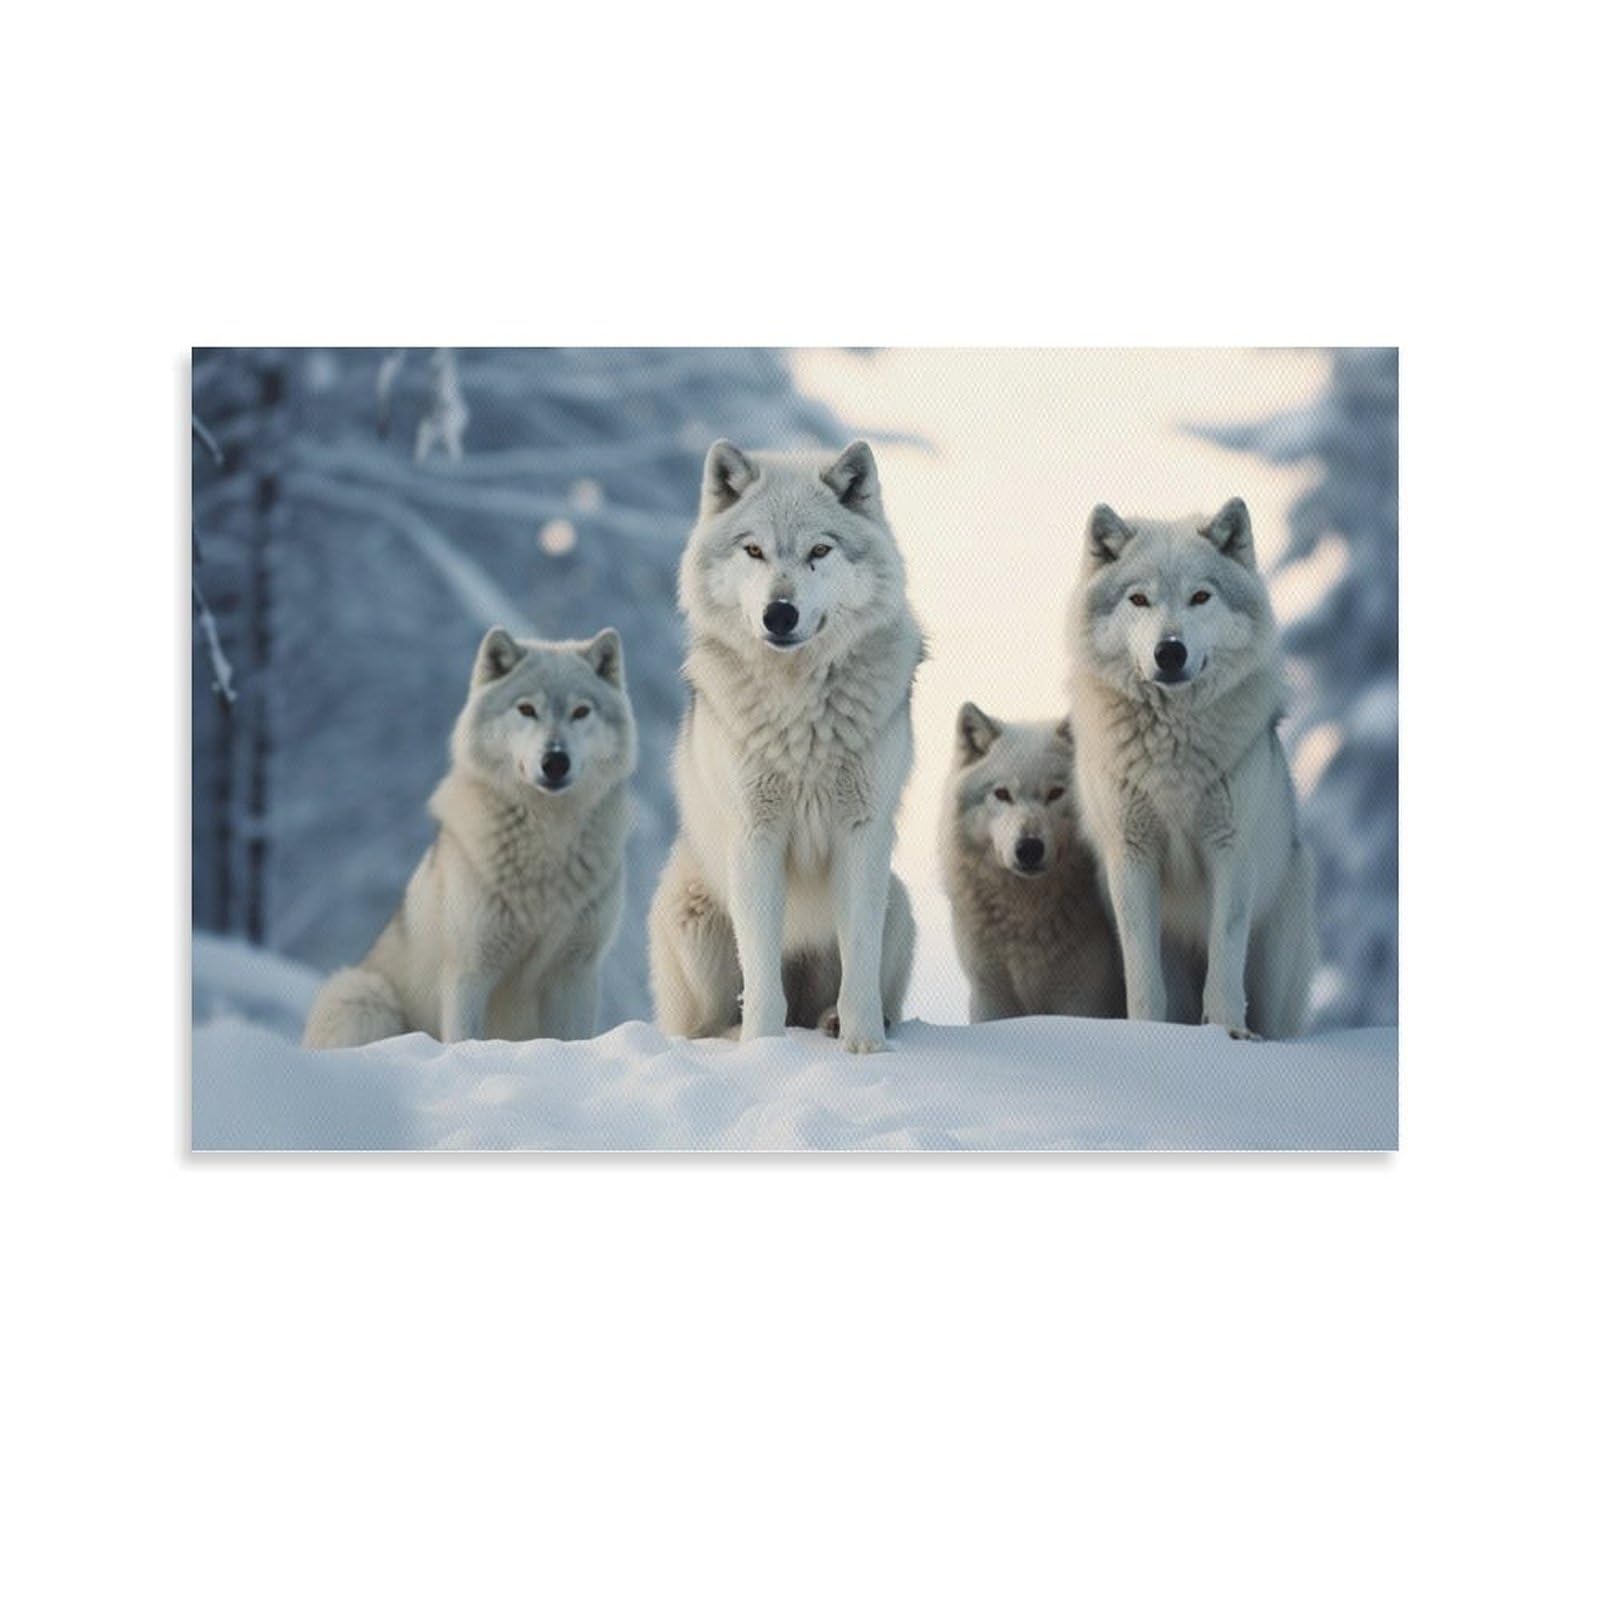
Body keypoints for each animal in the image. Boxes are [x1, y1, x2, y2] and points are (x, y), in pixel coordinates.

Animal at [302, 627, 636, 1048]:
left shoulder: (575, 974)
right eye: (527, 709)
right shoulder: (469, 972)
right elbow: (464, 1039)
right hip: (364, 996)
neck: (547, 839)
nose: (555, 761)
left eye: (581, 712)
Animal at [648, 439, 921, 1053]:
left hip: (897, 903)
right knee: (705, 1023)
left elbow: (859, 964)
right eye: (754, 550)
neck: (800, 708)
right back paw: (735, 1035)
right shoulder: (756, 835)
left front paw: (866, 1047)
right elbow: (761, 974)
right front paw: (764, 1051)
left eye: (820, 550)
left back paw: (835, 1022)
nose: (780, 613)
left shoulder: (862, 833)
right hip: (692, 917)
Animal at [939, 705, 1124, 1022]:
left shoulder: (1083, 998)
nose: (1028, 849)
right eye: (1002, 794)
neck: (1026, 914)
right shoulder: (990, 998)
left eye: (1055, 793)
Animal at [1066, 499, 1317, 1039]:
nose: (1170, 651)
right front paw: (1146, 1036)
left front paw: (1227, 1035)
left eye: (1201, 597)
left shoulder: (1231, 850)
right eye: (1139, 599)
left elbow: (1224, 960)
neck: (1172, 745)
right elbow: (1143, 975)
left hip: (1274, 968)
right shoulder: (1132, 856)